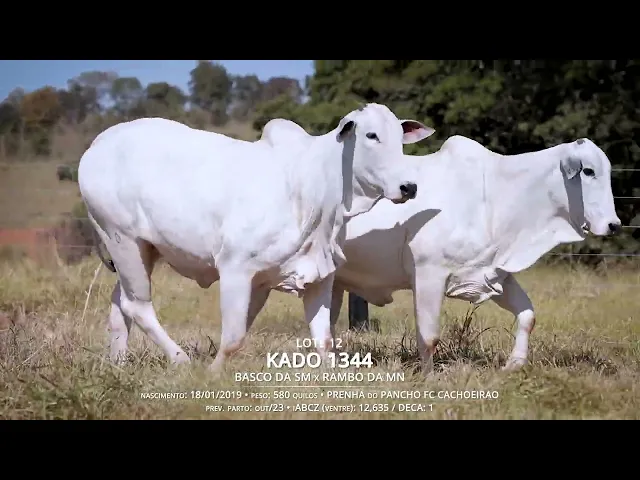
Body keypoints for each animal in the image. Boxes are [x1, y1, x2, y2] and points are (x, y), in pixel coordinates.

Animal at [77, 103, 434, 371]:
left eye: (401, 137)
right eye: (371, 135)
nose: (409, 187)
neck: (314, 184)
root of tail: (98, 144)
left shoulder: (318, 277)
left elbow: (323, 340)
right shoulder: (235, 269)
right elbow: (233, 337)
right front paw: (212, 373)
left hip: (142, 250)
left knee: (119, 305)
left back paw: (118, 364)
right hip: (124, 240)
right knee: (137, 305)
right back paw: (179, 360)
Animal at [325, 135, 622, 374]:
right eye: (588, 171)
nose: (614, 224)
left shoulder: (493, 273)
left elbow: (528, 315)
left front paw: (514, 364)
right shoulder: (428, 274)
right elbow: (429, 337)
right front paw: (428, 378)